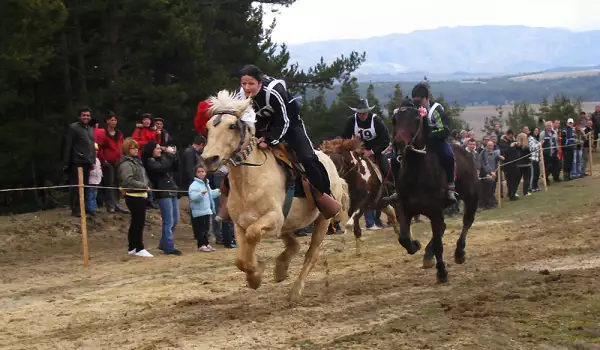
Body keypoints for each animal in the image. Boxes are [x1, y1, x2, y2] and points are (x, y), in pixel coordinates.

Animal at [202, 90, 352, 300]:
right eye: (208, 128)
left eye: (232, 126)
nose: (209, 159)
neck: (250, 181)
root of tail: (334, 170)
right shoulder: (240, 224)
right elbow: (240, 259)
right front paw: (255, 276)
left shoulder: (273, 218)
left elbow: (253, 234)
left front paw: (257, 272)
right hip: (289, 225)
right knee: (294, 245)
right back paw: (281, 270)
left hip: (322, 220)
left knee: (311, 254)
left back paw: (295, 290)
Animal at [384, 100, 478, 284]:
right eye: (395, 120)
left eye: (415, 119)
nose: (399, 144)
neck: (417, 171)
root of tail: (468, 152)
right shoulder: (404, 208)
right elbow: (404, 238)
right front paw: (416, 245)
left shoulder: (435, 210)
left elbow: (438, 244)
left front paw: (442, 272)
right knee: (443, 227)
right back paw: (428, 256)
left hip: (471, 197)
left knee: (467, 221)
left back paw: (459, 253)